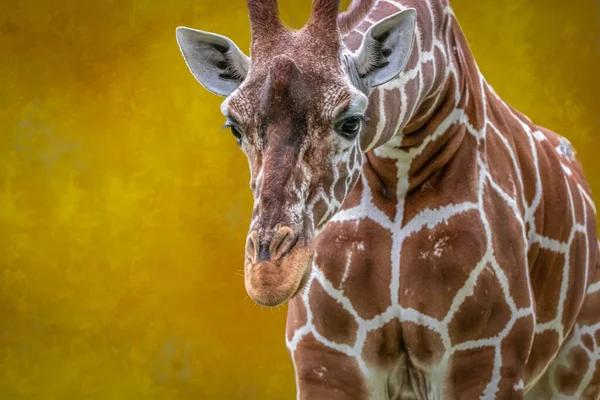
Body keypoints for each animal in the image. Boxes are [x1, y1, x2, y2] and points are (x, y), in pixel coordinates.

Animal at [175, 0, 600, 396]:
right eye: (234, 127)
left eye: (351, 122)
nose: (269, 275)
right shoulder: (327, 361)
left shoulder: (486, 357)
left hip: (578, 367)